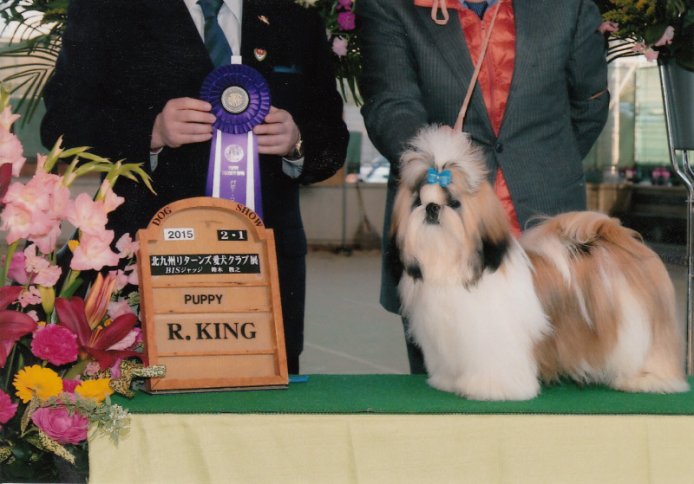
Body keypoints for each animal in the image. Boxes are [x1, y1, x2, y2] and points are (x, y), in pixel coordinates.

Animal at [394, 125, 692, 400]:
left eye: (454, 203)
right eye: (418, 201)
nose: (432, 208)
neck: (452, 266)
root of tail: (617, 239)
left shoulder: (493, 339)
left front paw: (492, 389)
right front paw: (447, 381)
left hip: (637, 325)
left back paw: (648, 378)